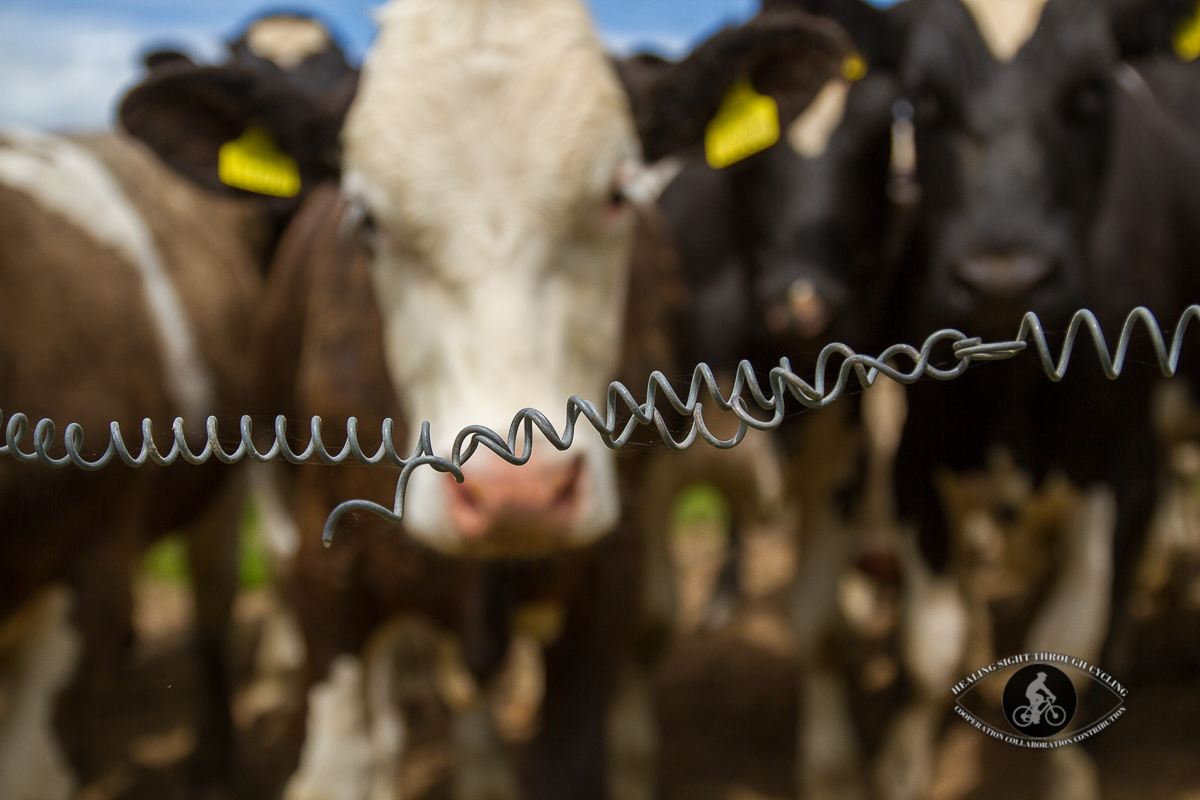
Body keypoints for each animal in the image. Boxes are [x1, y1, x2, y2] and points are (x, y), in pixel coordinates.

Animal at [119, 1, 854, 800]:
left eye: (617, 194)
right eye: (366, 218)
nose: (516, 493)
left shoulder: (607, 583)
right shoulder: (326, 578)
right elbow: (339, 758)